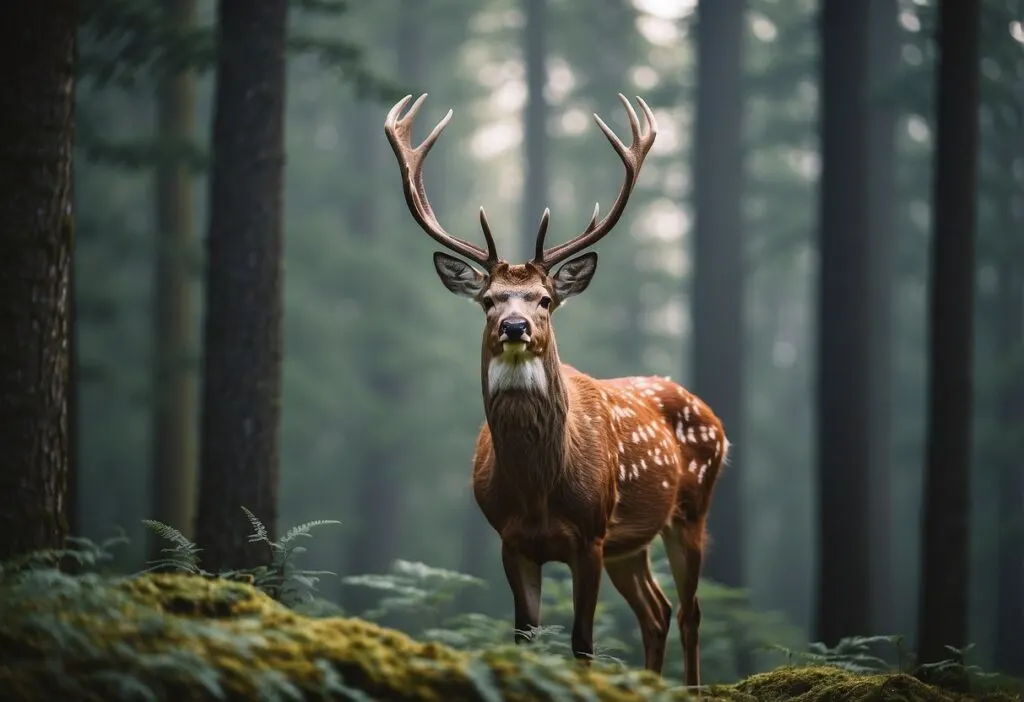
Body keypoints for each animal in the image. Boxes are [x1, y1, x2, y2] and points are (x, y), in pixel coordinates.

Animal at [383, 93, 728, 689]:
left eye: (544, 298)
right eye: (489, 299)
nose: (515, 326)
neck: (538, 489)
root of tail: (716, 420)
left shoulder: (589, 536)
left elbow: (582, 643)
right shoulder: (511, 540)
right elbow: (524, 637)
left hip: (690, 511)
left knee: (689, 611)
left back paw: (691, 686)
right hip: (630, 543)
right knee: (656, 612)